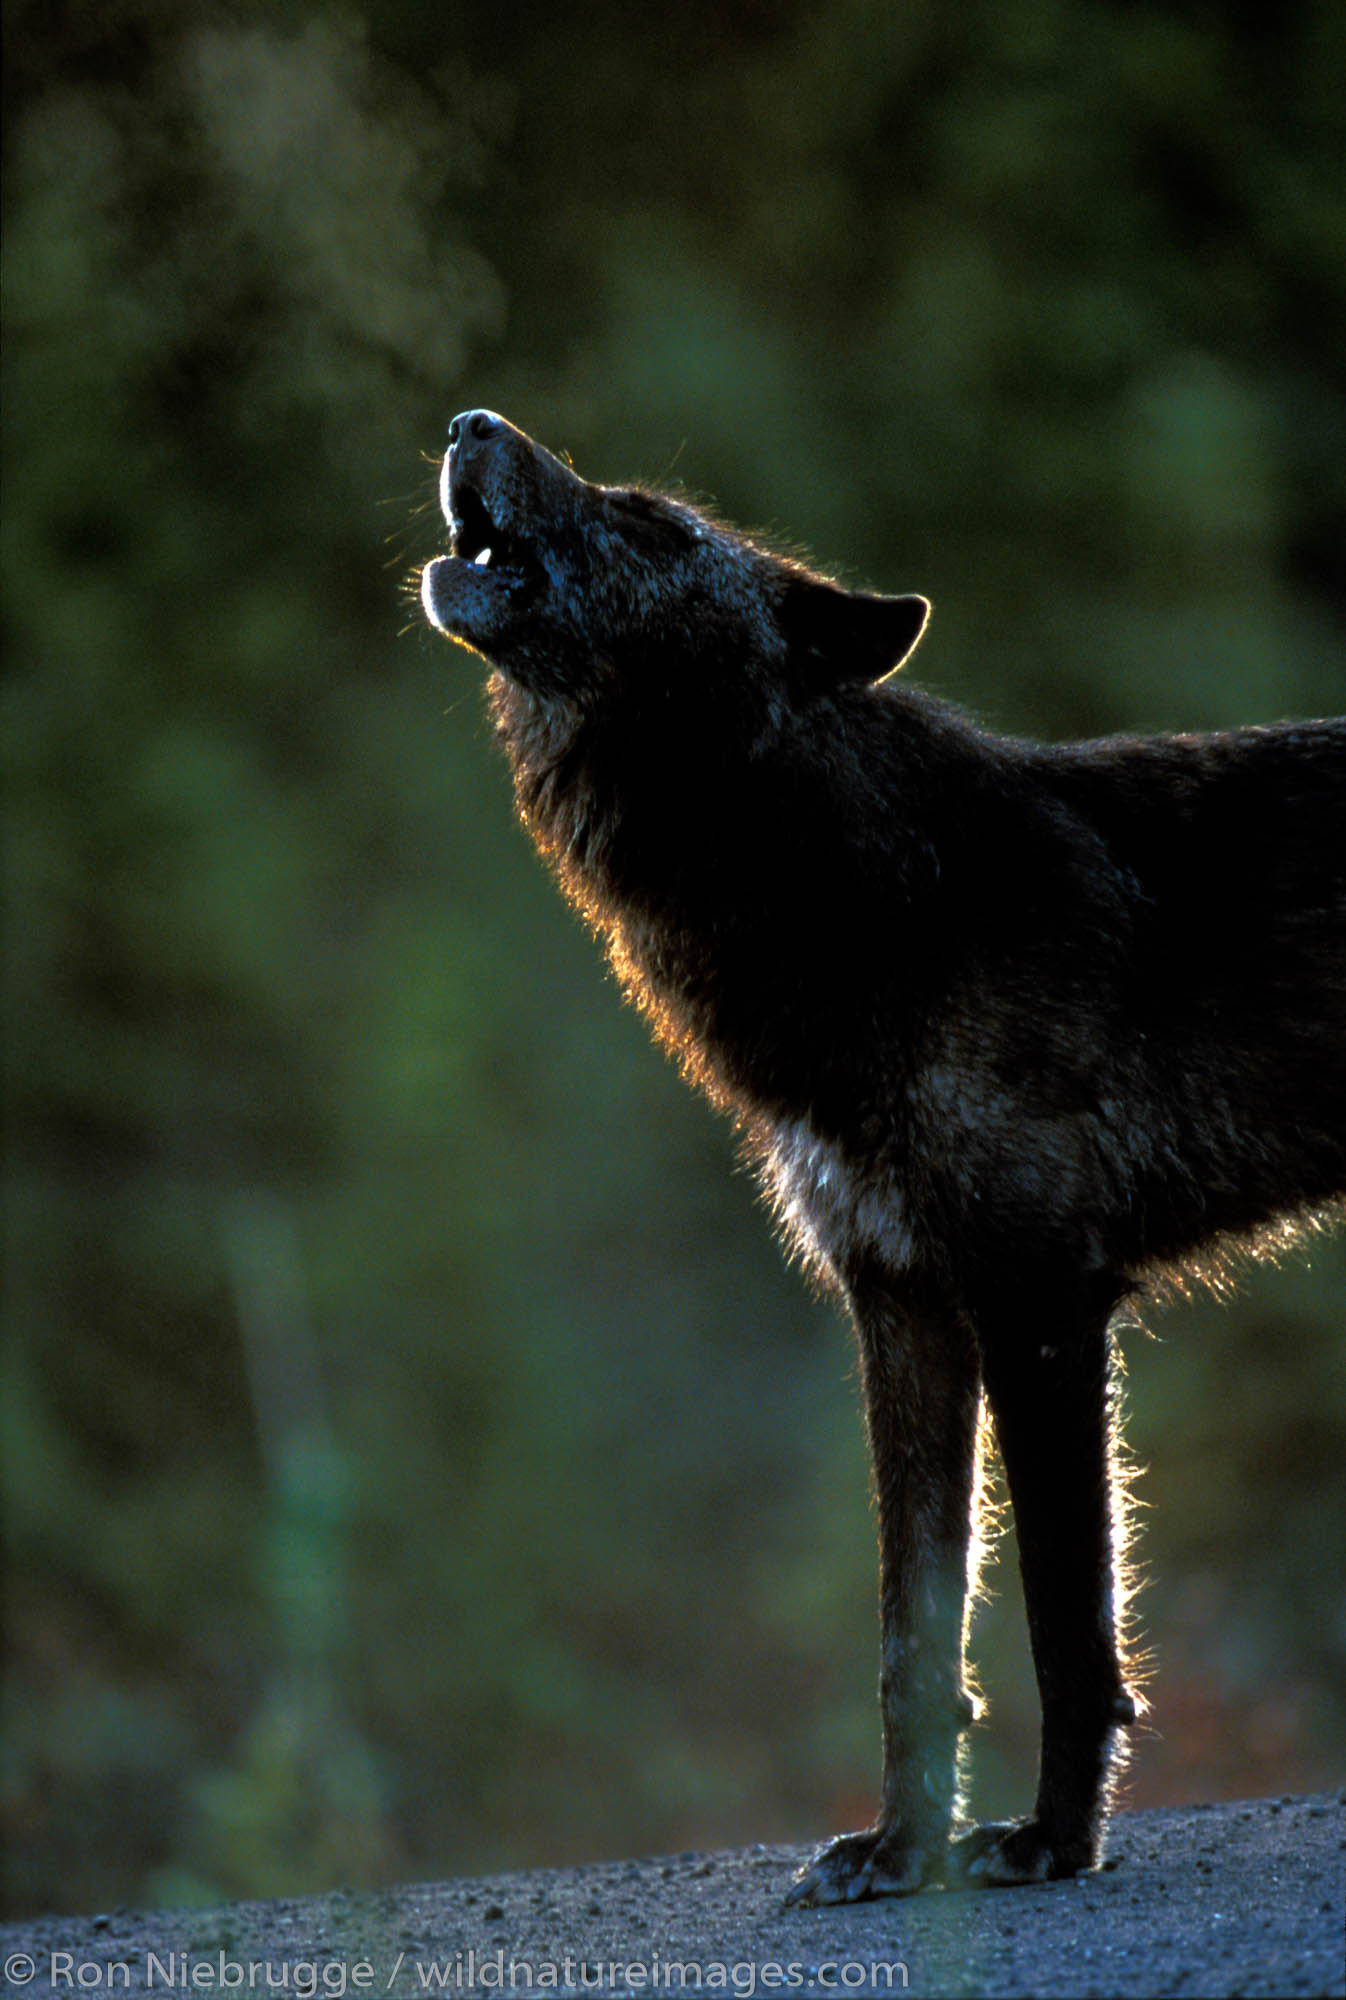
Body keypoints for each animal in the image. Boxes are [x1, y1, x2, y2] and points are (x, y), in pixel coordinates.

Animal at [420, 410, 1344, 1904]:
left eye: (653, 524)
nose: (468, 425)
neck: (858, 892)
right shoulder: (900, 1305)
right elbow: (912, 1639)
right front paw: (902, 1848)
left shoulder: (1040, 1302)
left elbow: (1062, 1624)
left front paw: (1052, 1840)